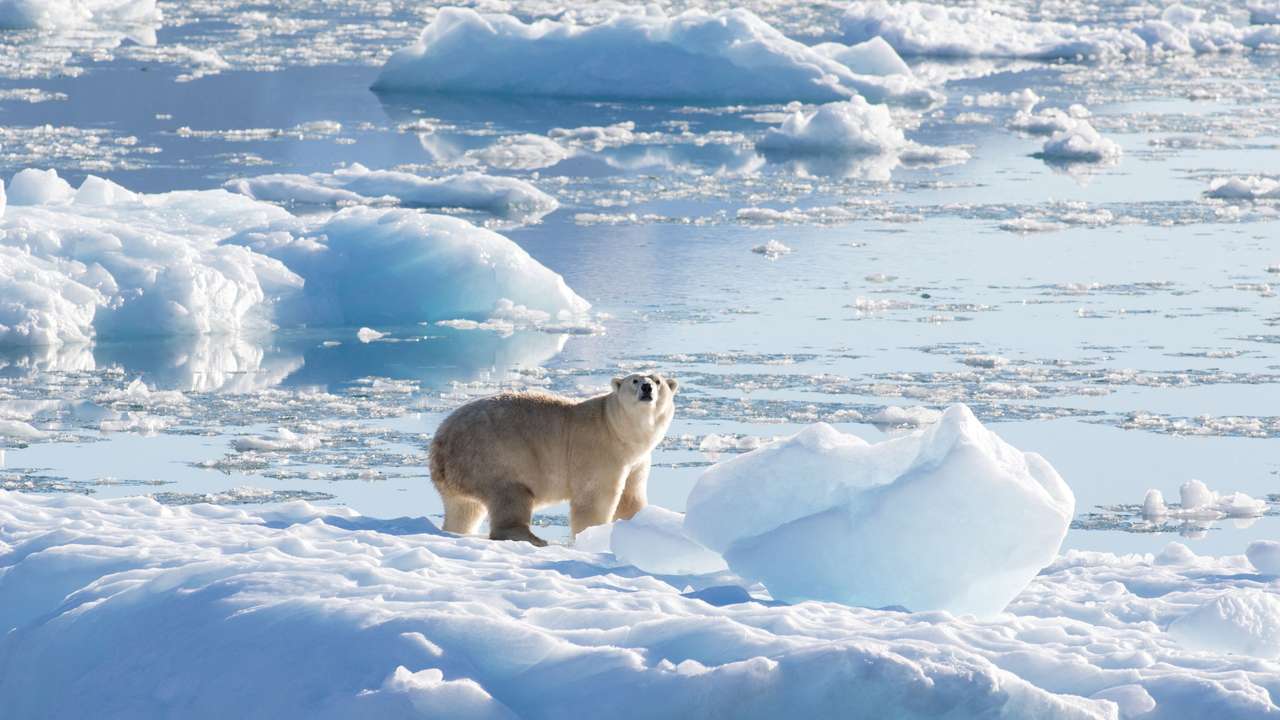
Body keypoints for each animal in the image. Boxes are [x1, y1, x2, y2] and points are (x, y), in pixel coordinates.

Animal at [429, 373, 678, 546]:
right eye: (634, 380)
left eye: (657, 380)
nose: (646, 387)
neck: (617, 429)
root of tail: (440, 441)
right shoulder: (598, 450)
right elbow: (594, 498)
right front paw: (592, 535)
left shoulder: (637, 461)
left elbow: (631, 498)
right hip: (493, 455)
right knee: (511, 495)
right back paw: (534, 538)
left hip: (462, 473)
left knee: (464, 509)